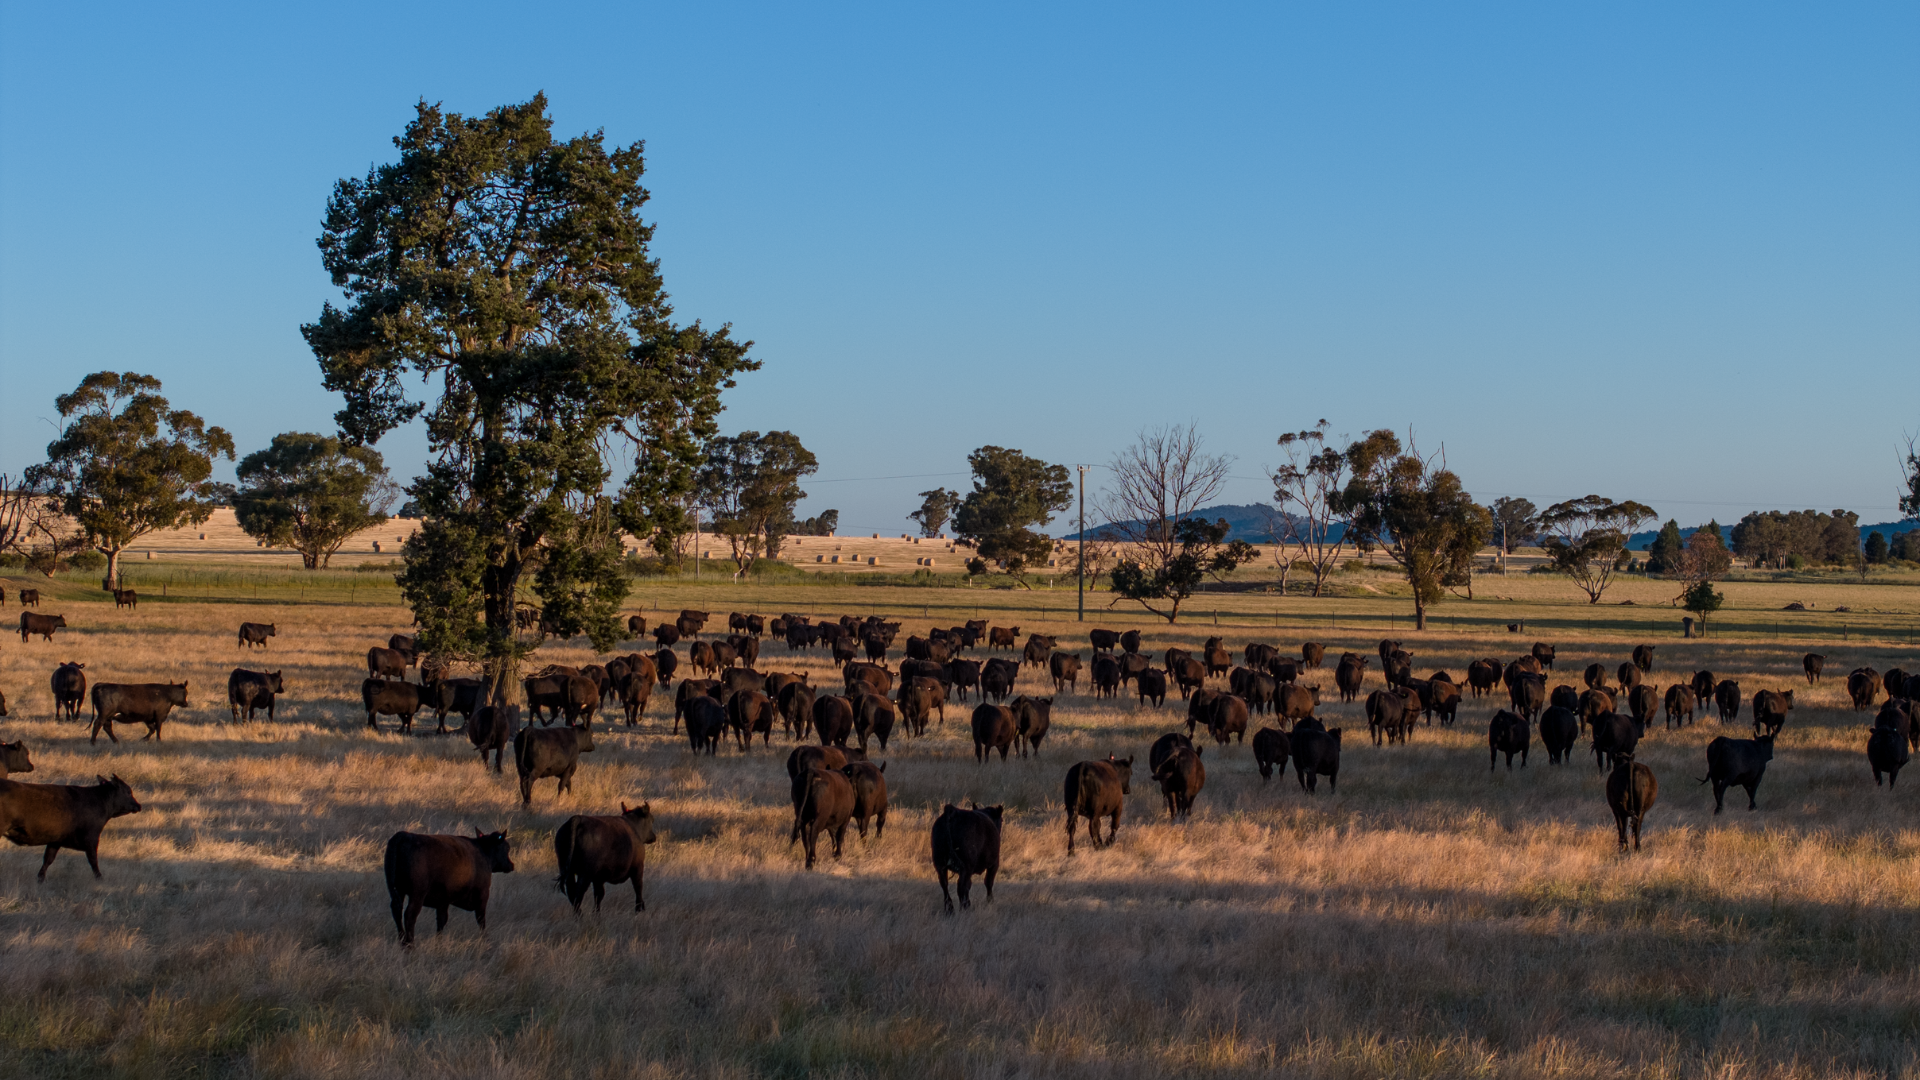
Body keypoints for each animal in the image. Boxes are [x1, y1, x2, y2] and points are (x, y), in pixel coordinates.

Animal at [0, 774, 141, 881]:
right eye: (128, 792)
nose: (138, 805)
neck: (99, 802)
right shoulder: (91, 838)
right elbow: (93, 860)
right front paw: (100, 879)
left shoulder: (56, 841)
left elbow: (48, 859)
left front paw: (40, 879)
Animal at [384, 829, 514, 946]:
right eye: (506, 848)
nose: (511, 865)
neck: (484, 852)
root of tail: (404, 835)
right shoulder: (482, 895)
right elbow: (481, 919)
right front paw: (485, 940)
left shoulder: (443, 901)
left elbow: (441, 921)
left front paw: (439, 942)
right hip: (417, 894)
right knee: (410, 915)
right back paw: (410, 944)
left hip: (398, 891)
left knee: (397, 910)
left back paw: (402, 941)